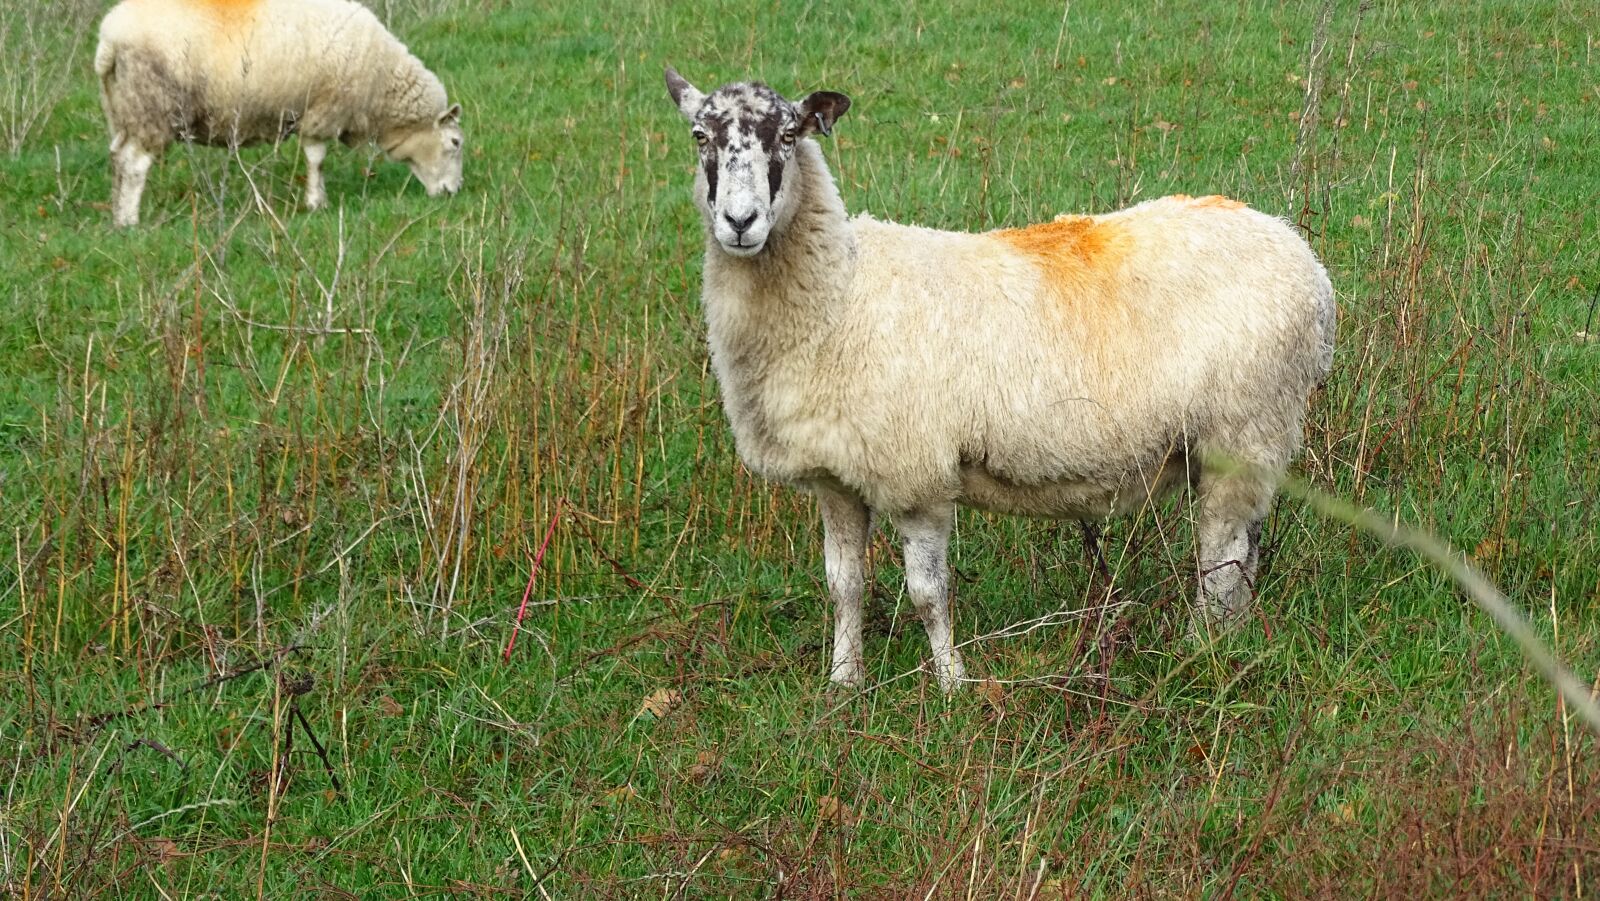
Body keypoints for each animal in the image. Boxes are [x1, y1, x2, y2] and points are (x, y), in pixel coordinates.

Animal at [94, 0, 465, 227]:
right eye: (455, 143)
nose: (454, 193)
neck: (381, 80)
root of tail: (108, 41)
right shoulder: (323, 109)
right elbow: (317, 158)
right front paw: (316, 202)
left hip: (122, 108)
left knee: (118, 157)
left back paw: (117, 213)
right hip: (150, 104)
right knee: (135, 163)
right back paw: (130, 220)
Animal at [663, 68, 1337, 692]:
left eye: (789, 135)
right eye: (700, 136)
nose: (740, 221)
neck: (841, 293)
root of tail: (1307, 263)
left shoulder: (918, 475)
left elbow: (928, 592)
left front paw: (951, 686)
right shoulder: (837, 476)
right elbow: (843, 585)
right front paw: (844, 684)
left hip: (1244, 430)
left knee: (1222, 556)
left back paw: (1201, 649)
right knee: (1244, 552)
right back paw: (1230, 638)